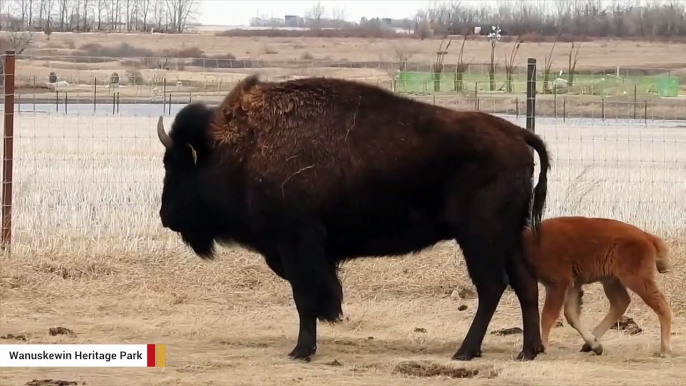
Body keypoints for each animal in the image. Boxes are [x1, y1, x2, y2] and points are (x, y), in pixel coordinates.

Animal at [157, 74, 552, 362]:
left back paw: (466, 351)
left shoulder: (297, 246)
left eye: (175, 166)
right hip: (509, 237)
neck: (242, 148)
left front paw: (301, 351)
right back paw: (528, 351)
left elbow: (306, 298)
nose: (165, 216)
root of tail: (520, 134)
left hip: (479, 238)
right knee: (524, 284)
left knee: (492, 286)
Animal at [524, 216, 676, 358]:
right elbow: (571, 314)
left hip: (636, 279)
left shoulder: (557, 285)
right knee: (620, 303)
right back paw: (589, 345)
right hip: (611, 280)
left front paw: (543, 348)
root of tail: (647, 236)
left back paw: (665, 350)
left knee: (660, 304)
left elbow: (548, 315)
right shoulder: (573, 285)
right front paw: (595, 346)